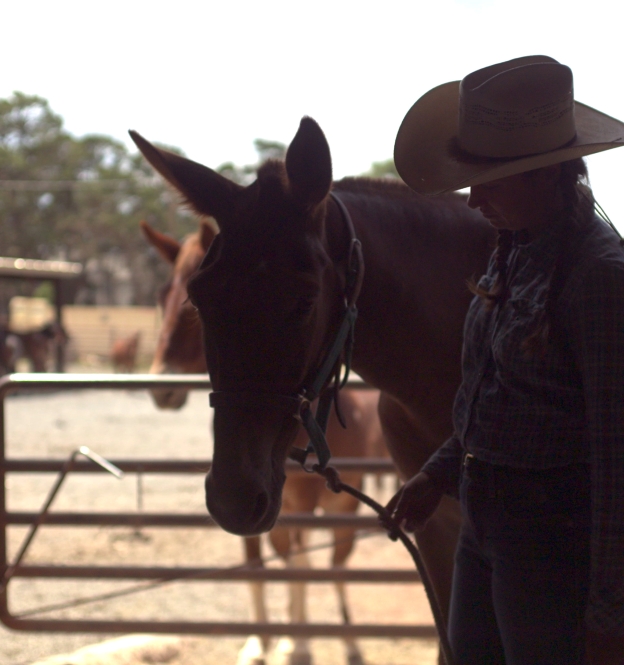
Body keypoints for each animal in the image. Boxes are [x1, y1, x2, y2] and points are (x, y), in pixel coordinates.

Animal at [141, 220, 390, 660]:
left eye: (189, 304)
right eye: (161, 296)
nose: (161, 387)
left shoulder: (304, 504)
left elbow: (306, 569)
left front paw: (300, 645)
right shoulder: (259, 505)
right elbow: (262, 567)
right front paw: (261, 643)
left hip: (340, 506)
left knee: (336, 567)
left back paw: (346, 643)